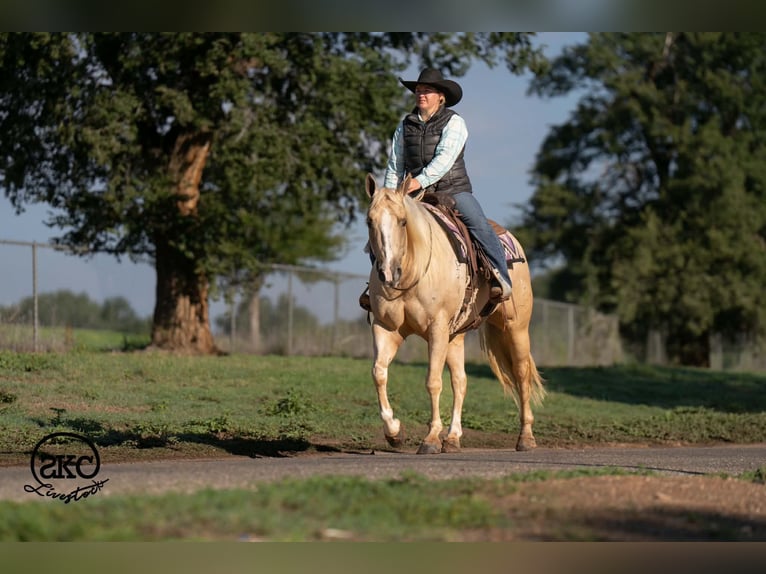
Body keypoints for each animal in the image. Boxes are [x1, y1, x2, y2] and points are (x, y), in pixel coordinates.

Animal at [364, 173, 545, 453]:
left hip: (516, 328)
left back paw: (525, 437)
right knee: (460, 381)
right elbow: (379, 373)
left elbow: (432, 381)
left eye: (403, 221)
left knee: (521, 374)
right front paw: (394, 432)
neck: (414, 271)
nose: (388, 272)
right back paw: (452, 438)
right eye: (369, 221)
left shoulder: (436, 329)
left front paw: (430, 439)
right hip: (455, 336)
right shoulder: (386, 328)